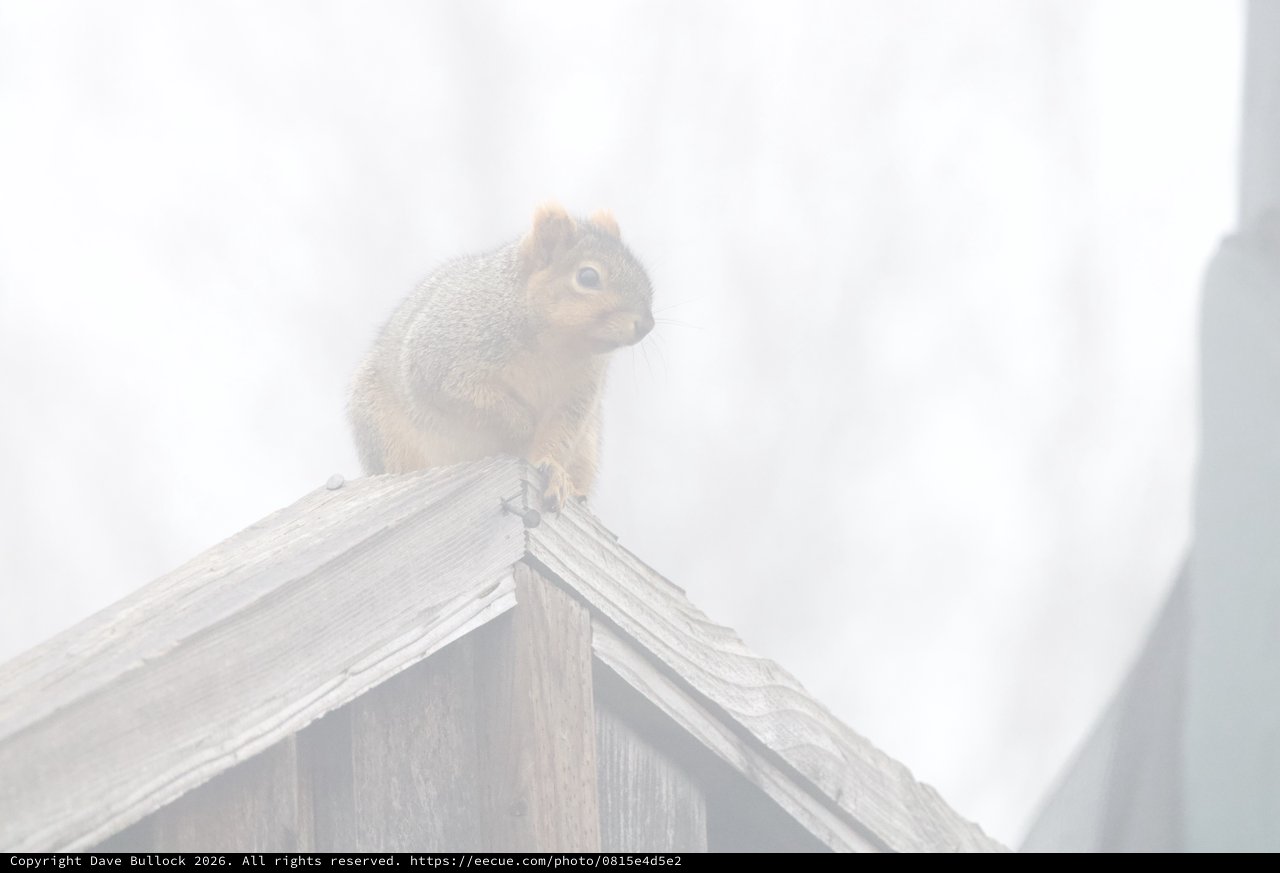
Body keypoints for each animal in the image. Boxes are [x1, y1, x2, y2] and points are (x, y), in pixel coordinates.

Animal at [348, 203, 655, 511]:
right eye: (588, 277)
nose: (646, 324)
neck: (555, 346)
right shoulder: (440, 359)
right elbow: (470, 399)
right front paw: (523, 427)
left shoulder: (578, 394)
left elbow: (558, 435)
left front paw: (553, 471)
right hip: (384, 431)